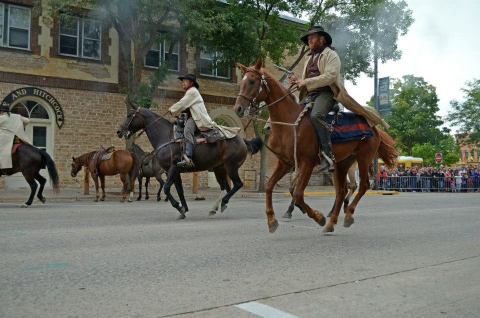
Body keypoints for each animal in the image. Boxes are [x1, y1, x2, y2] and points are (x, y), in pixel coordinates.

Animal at [233, 60, 398, 234]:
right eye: (242, 82)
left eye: (252, 81)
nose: (238, 108)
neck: (290, 122)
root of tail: (374, 127)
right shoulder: (286, 163)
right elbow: (271, 186)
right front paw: (272, 220)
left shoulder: (307, 162)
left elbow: (298, 194)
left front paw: (317, 217)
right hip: (342, 163)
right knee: (342, 190)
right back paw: (331, 222)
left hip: (364, 158)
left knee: (363, 185)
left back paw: (347, 215)